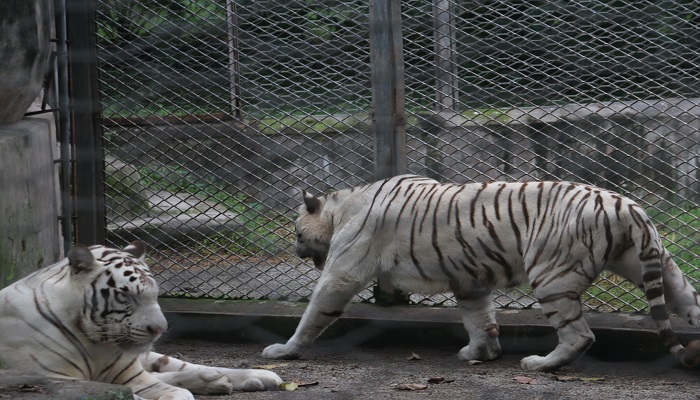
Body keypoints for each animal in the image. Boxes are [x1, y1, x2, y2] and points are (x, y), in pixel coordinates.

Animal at [0, 241, 282, 400]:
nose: (160, 329)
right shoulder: (53, 379)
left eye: (155, 294)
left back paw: (250, 376)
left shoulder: (127, 372)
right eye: (126, 295)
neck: (96, 343)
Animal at [262, 174, 700, 371]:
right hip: (654, 264)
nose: (296, 249)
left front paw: (285, 350)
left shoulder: (343, 271)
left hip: (551, 277)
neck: (341, 208)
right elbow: (479, 319)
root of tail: (629, 205)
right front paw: (480, 353)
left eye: (297, 233)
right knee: (687, 299)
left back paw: (541, 364)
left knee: (579, 334)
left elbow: (315, 312)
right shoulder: (471, 279)